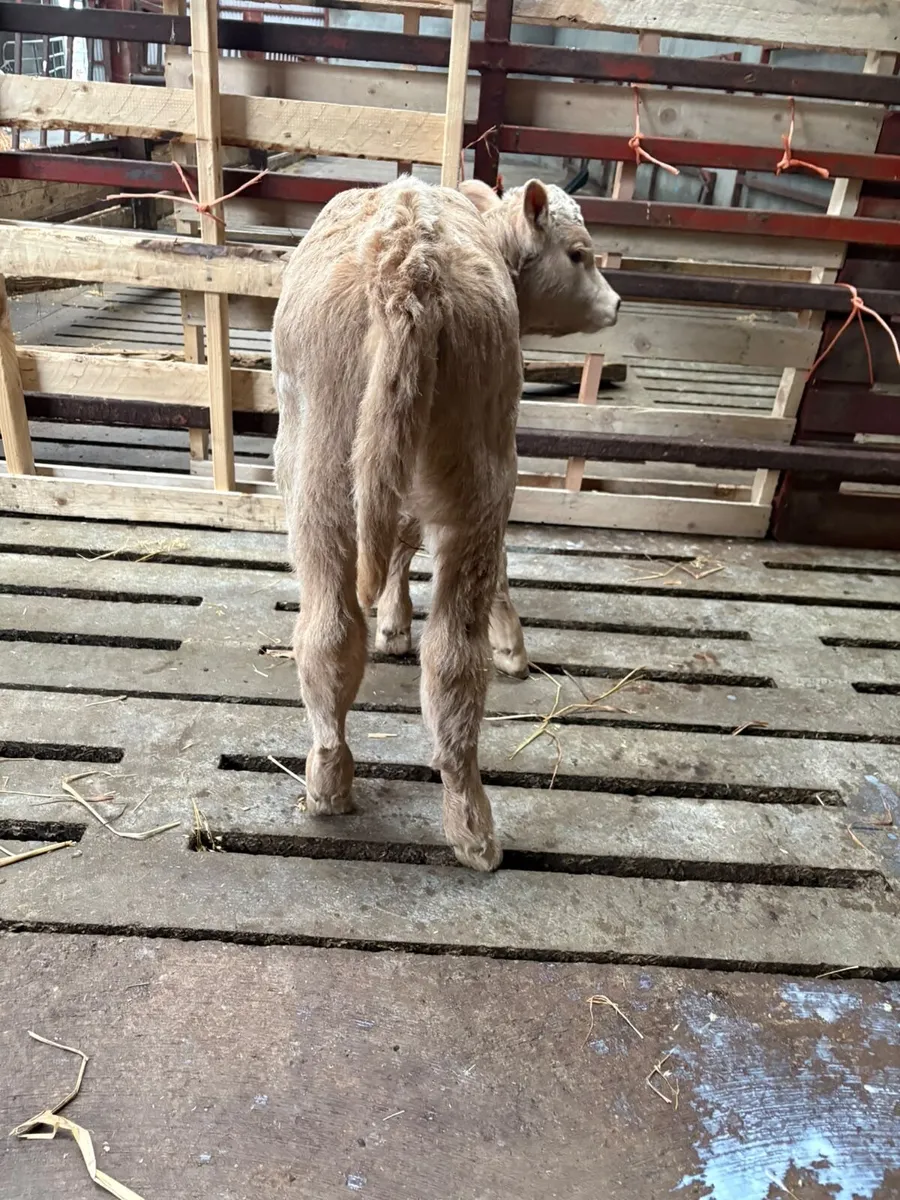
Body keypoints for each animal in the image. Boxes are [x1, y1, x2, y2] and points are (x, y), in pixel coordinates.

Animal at [272, 174, 619, 872]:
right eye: (578, 254)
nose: (616, 304)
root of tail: (408, 255)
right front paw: (495, 640)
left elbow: (399, 541)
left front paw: (393, 622)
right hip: (476, 475)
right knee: (454, 656)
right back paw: (471, 826)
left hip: (319, 472)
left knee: (328, 635)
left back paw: (328, 785)